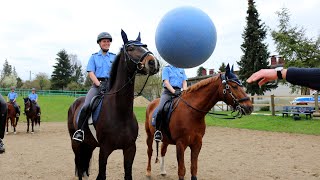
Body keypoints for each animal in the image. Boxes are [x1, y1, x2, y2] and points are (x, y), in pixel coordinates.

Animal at [69, 29, 161, 180]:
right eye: (130, 48)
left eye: (145, 46)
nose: (153, 62)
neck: (120, 112)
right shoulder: (104, 150)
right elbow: (101, 175)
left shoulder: (130, 149)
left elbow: (128, 175)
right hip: (76, 144)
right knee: (79, 165)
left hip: (90, 144)